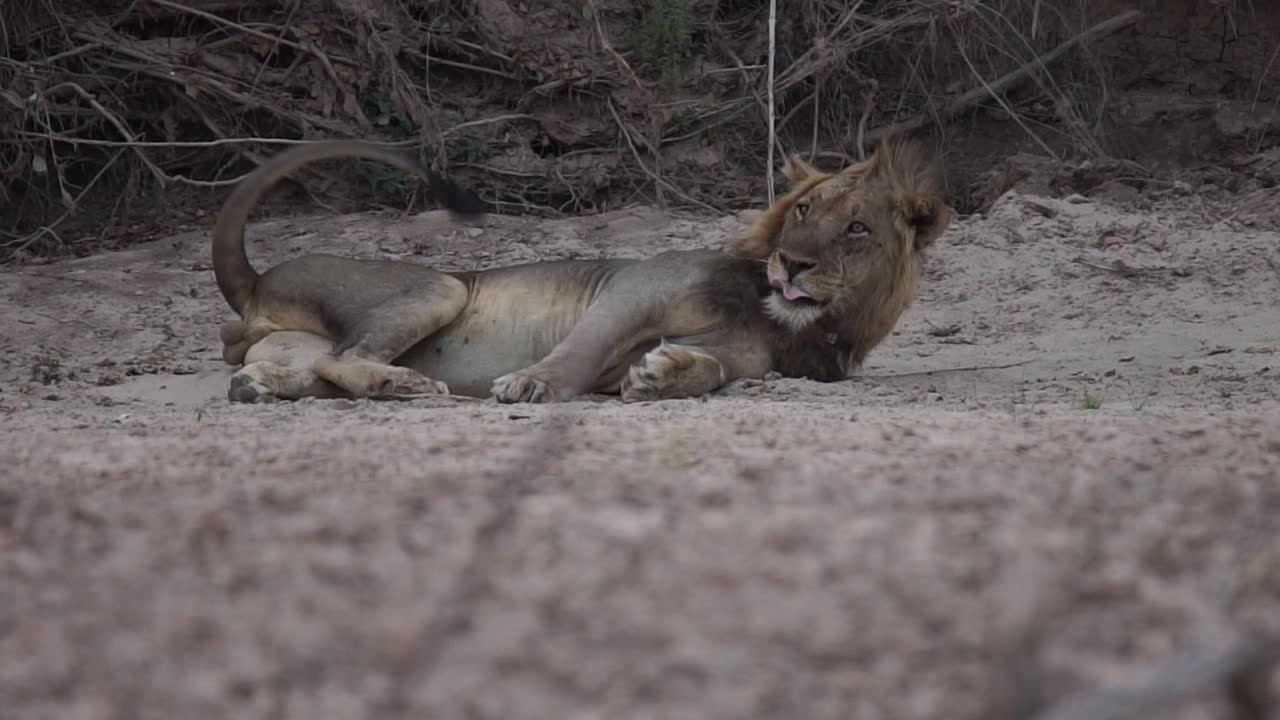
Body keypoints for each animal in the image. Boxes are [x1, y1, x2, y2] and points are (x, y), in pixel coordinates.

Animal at [212, 136, 952, 399]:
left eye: (855, 228)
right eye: (802, 210)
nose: (791, 266)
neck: (796, 323)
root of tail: (256, 281)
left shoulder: (753, 359)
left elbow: (716, 369)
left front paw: (665, 374)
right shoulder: (633, 286)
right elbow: (583, 347)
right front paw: (532, 385)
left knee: (305, 365)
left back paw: (265, 387)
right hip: (441, 284)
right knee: (344, 355)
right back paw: (403, 383)